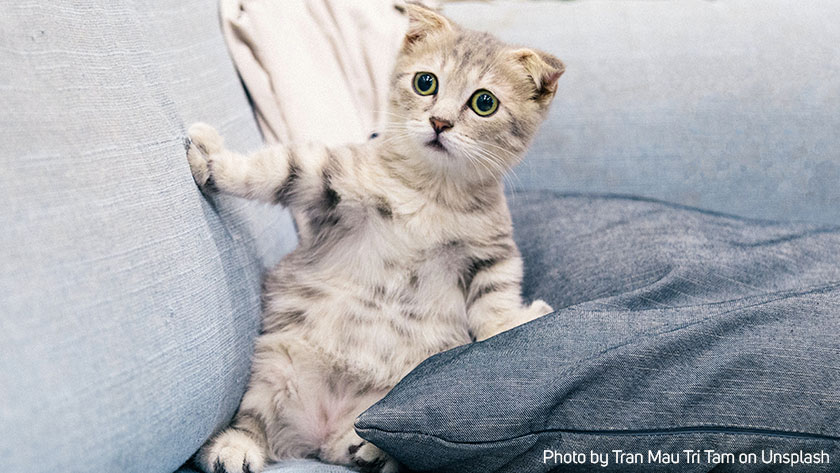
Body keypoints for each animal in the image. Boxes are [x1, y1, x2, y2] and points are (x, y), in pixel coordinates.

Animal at [186, 4, 560, 472]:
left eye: (484, 102)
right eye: (426, 82)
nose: (439, 122)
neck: (432, 192)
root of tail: (320, 429)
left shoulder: (492, 254)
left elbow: (494, 304)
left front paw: (513, 323)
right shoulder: (331, 179)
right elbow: (276, 169)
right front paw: (211, 160)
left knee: (355, 446)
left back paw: (365, 448)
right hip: (274, 365)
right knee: (254, 421)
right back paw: (235, 449)